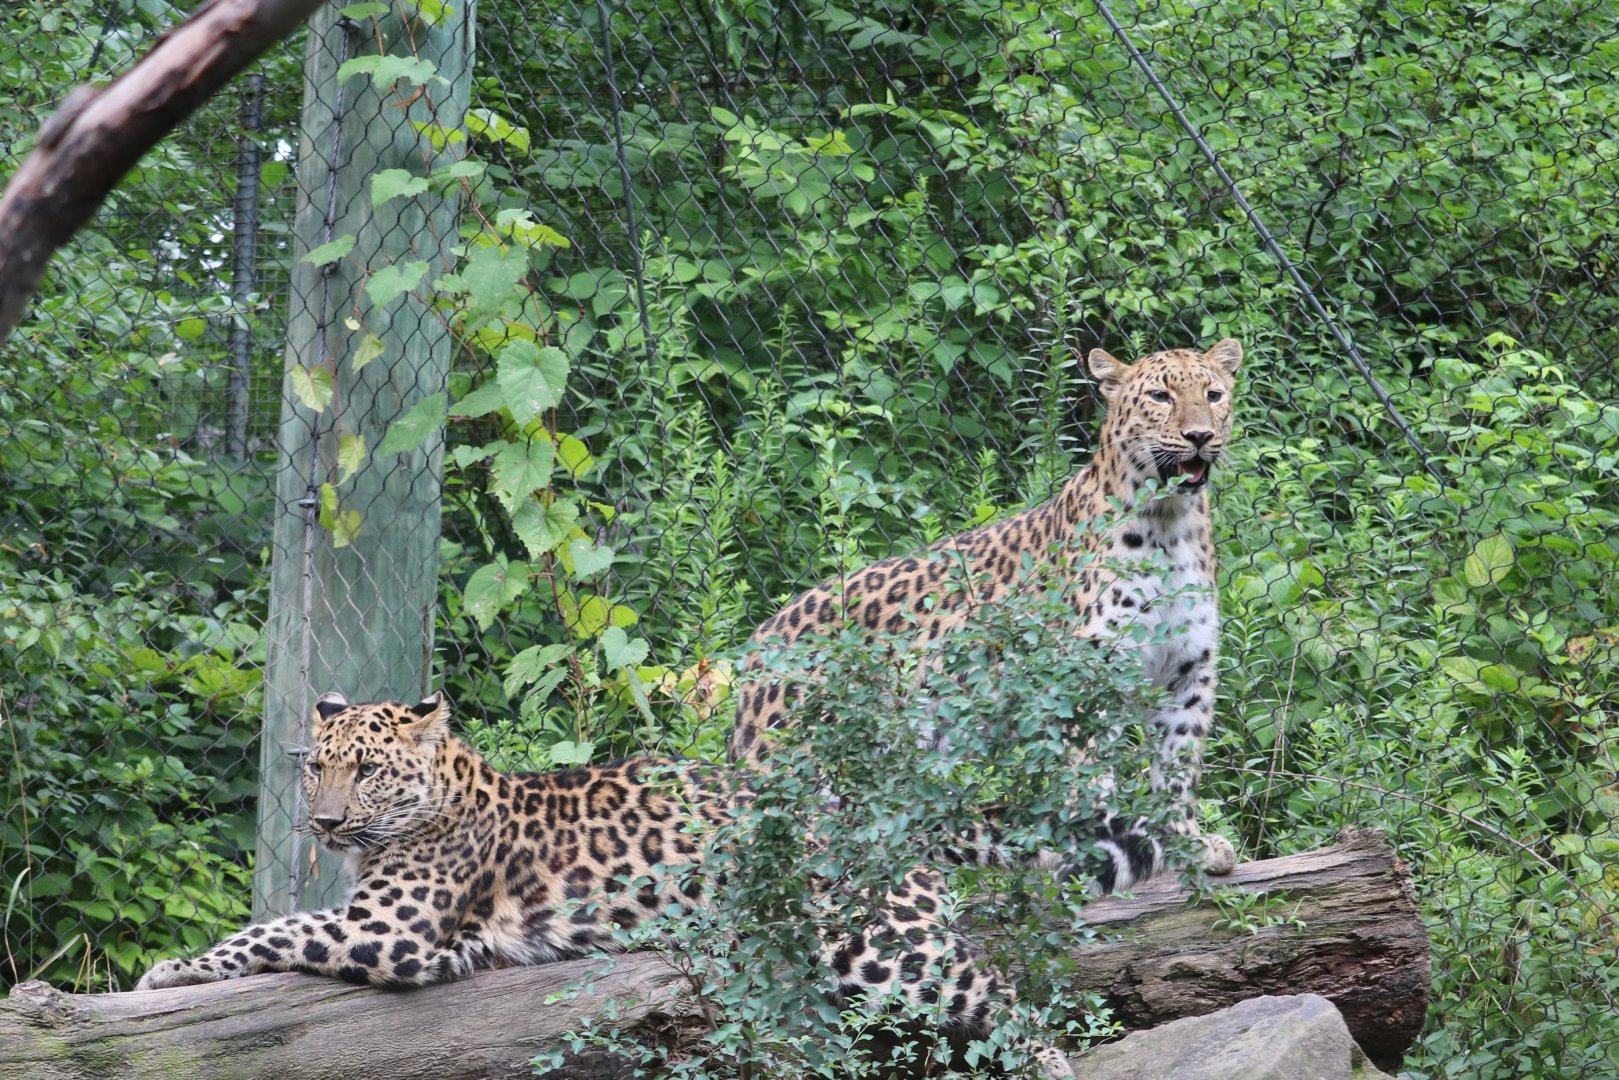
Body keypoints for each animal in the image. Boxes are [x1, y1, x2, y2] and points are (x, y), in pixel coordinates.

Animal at [137, 691, 1074, 1078]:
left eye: (366, 771)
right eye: (316, 769)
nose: (326, 823)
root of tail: (876, 811)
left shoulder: (390, 932)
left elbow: (272, 930)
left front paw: (167, 973)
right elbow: (280, 924)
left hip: (880, 945)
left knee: (1006, 995)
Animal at [728, 338, 1245, 894]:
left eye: (1213, 395)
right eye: (1160, 396)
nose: (1200, 436)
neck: (1169, 526)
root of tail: (757, 644)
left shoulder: (1188, 670)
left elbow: (1179, 769)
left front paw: (1186, 843)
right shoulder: (1088, 675)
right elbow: (1093, 777)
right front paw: (1096, 854)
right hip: (793, 769)